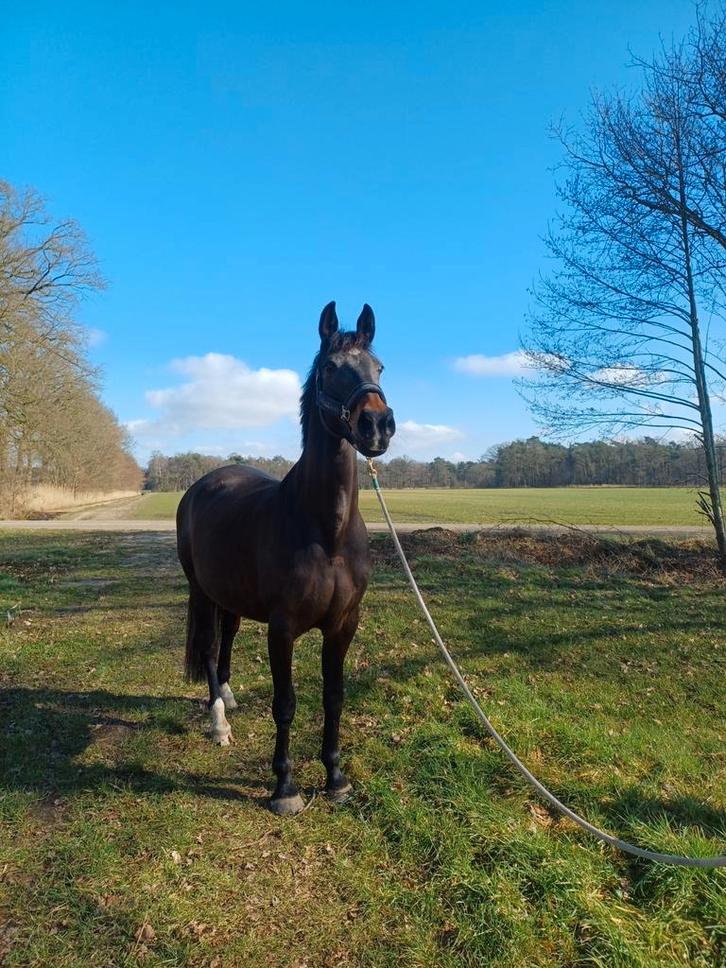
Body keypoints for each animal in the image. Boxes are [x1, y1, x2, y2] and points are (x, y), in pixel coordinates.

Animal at [176, 302, 395, 815]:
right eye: (331, 368)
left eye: (378, 367)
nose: (377, 426)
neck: (326, 532)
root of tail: (202, 485)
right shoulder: (283, 629)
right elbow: (286, 703)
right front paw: (285, 788)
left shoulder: (344, 624)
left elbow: (333, 696)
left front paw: (335, 778)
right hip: (200, 589)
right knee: (210, 648)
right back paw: (219, 721)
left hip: (230, 596)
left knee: (228, 640)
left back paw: (229, 695)